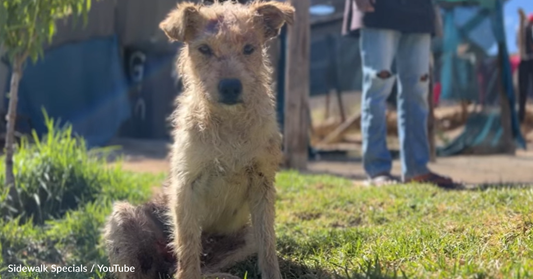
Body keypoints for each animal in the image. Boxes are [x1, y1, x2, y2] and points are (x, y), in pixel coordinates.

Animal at [102, 1, 294, 279]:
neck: (229, 124)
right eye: (204, 49)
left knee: (214, 265)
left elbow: (268, 244)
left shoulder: (262, 184)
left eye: (249, 48)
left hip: (243, 240)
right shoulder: (187, 186)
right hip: (123, 219)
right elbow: (187, 244)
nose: (230, 87)